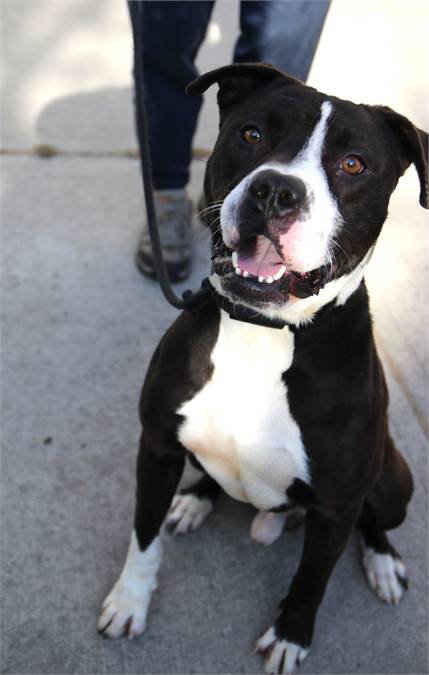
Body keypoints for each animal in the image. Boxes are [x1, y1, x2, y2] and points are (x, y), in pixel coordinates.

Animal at [98, 64, 426, 675]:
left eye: (354, 164)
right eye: (251, 134)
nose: (275, 190)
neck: (263, 331)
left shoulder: (338, 506)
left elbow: (312, 579)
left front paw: (290, 636)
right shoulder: (156, 447)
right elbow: (143, 536)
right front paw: (130, 601)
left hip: (393, 482)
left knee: (376, 521)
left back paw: (383, 562)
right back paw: (195, 499)